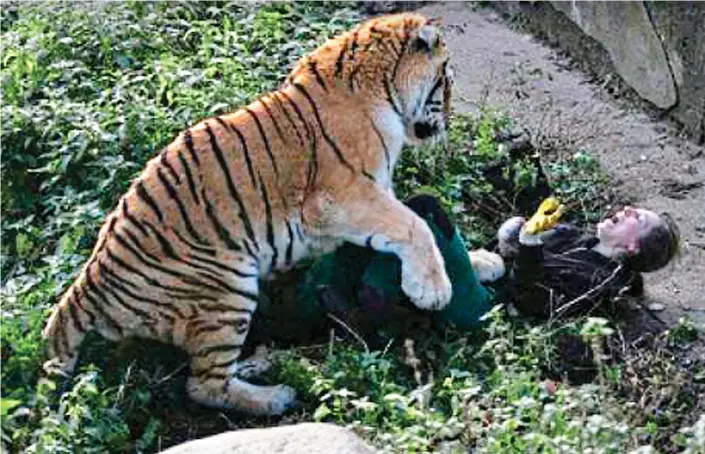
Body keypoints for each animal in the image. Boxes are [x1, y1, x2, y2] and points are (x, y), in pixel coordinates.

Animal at [42, 11, 452, 414]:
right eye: (446, 79)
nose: (449, 120)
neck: (384, 88)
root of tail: (86, 287)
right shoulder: (340, 197)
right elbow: (413, 225)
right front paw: (433, 290)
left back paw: (261, 361)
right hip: (227, 288)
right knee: (204, 385)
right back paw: (276, 397)